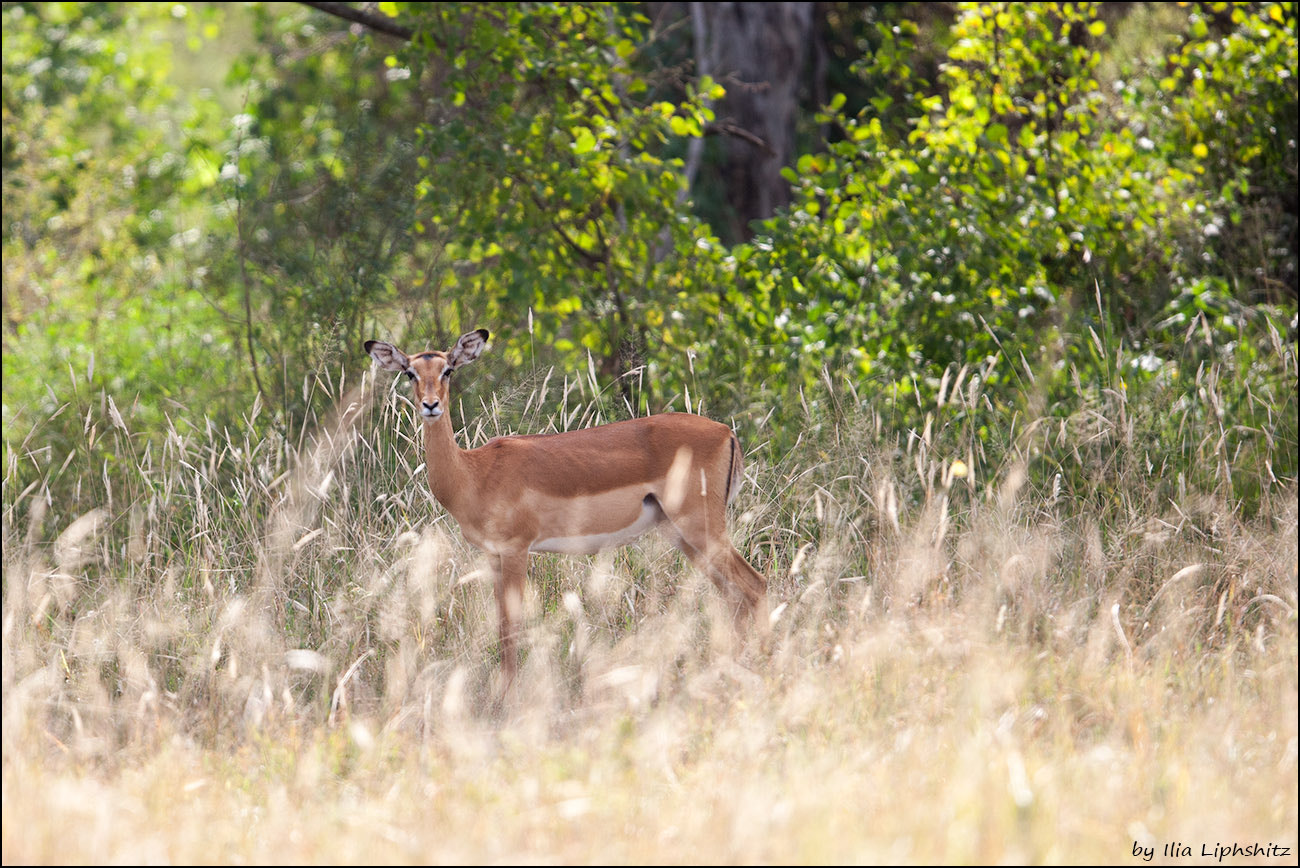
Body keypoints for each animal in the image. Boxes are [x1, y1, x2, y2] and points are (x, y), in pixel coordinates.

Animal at [366, 328, 764, 680]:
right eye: (409, 372)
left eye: (447, 369)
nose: (430, 405)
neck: (474, 473)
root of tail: (726, 432)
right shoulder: (493, 555)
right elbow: (501, 625)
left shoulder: (516, 549)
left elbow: (512, 626)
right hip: (682, 535)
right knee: (734, 597)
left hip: (701, 529)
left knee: (754, 587)